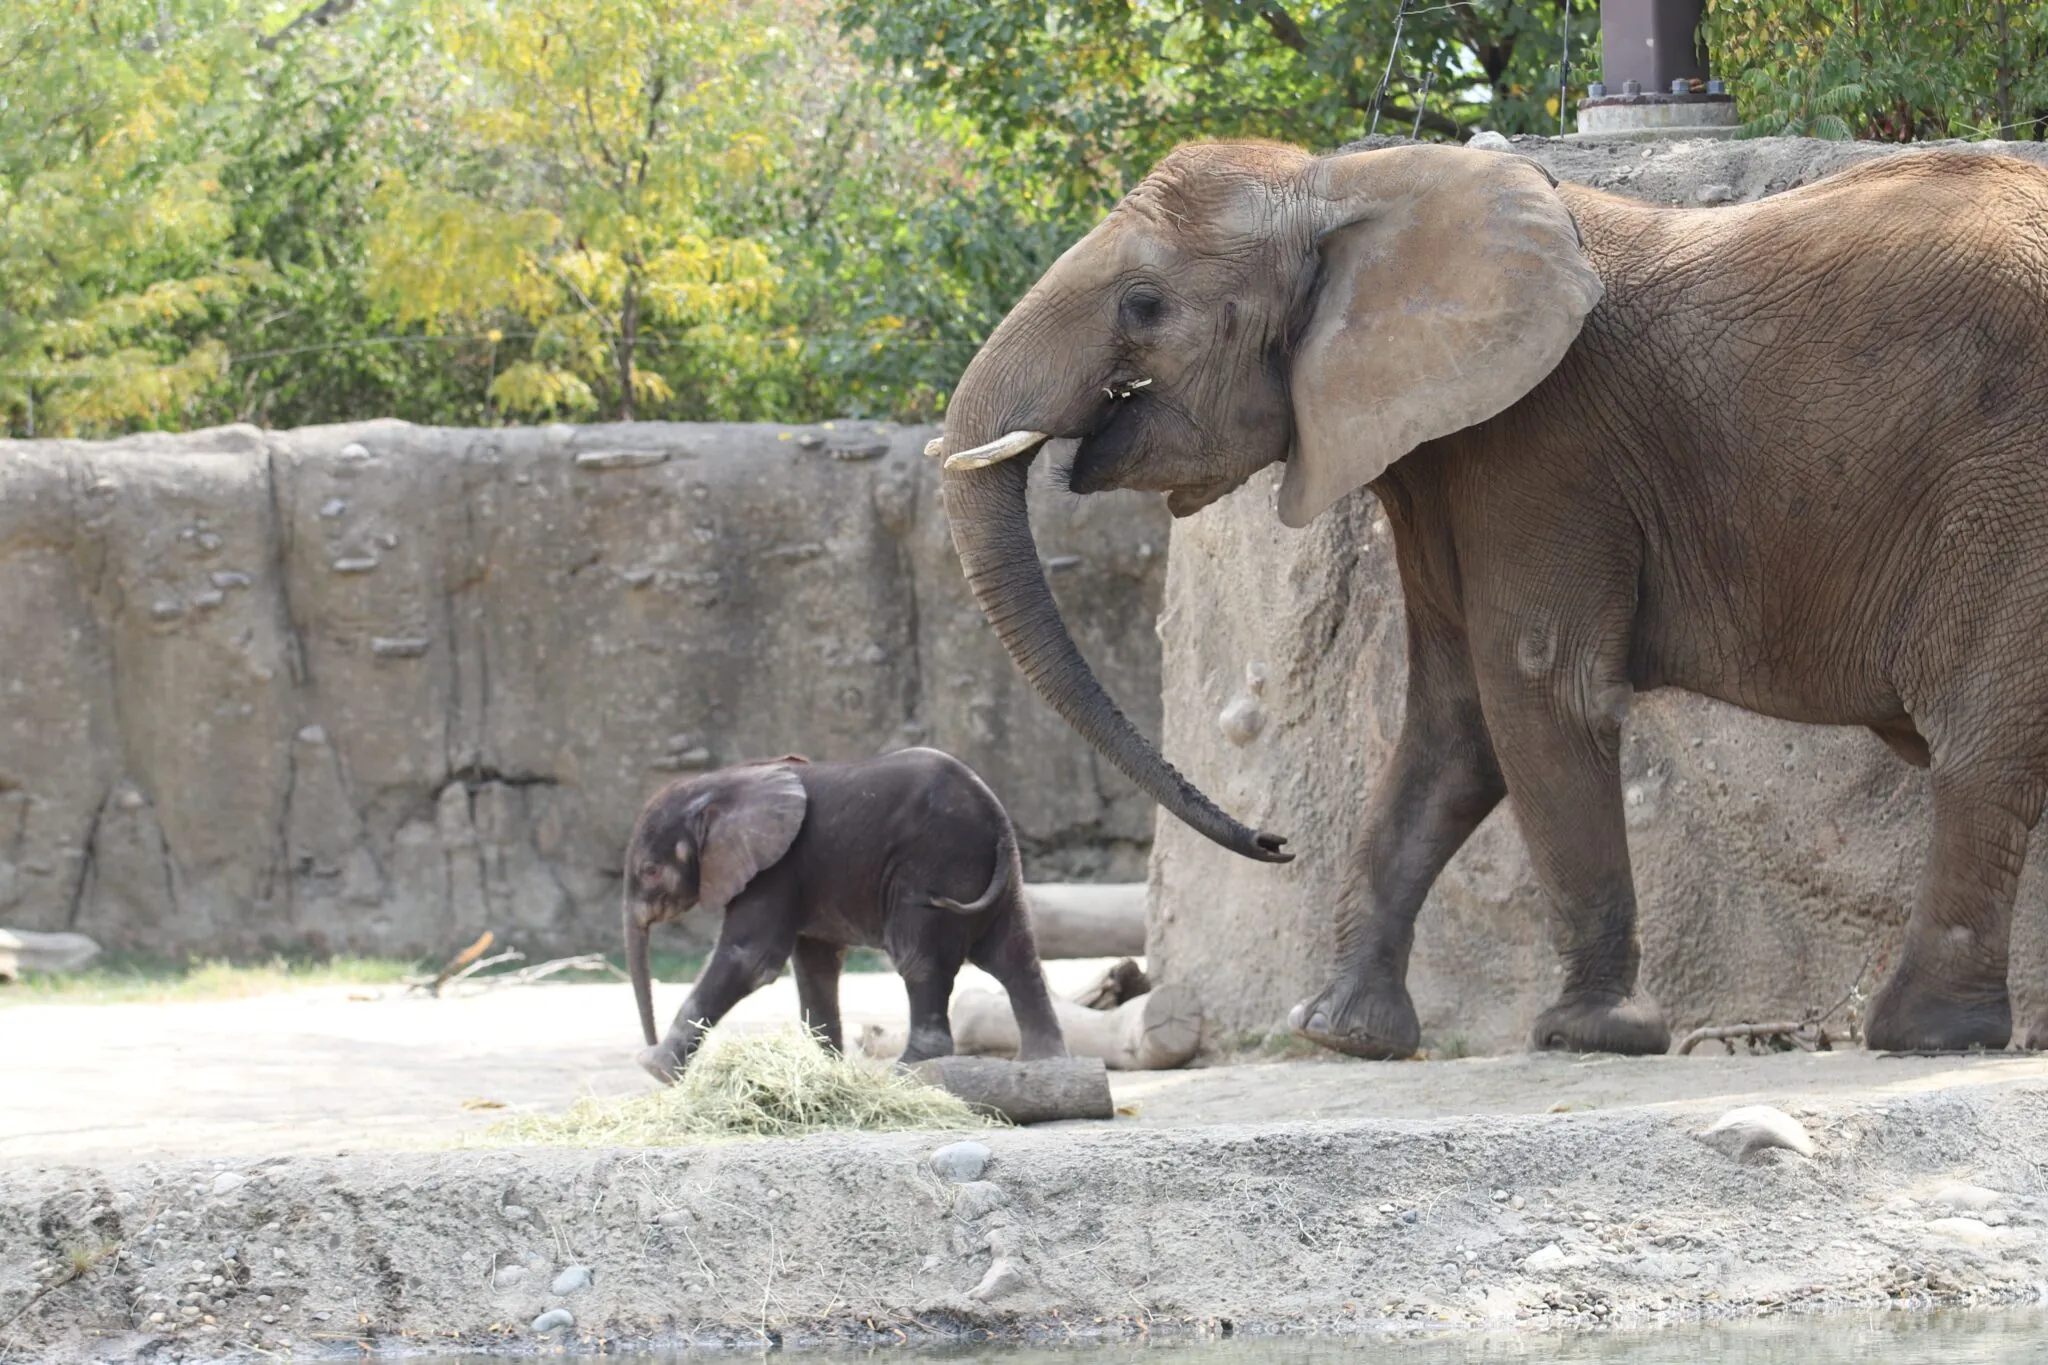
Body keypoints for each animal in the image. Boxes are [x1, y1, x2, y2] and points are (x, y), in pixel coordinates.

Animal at [622, 740, 1073, 1080]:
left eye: (650, 871)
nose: (647, 1045)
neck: (720, 786)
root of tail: (995, 813)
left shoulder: (776, 868)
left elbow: (750, 958)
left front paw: (656, 1069)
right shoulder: (798, 876)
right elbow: (813, 967)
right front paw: (825, 1073)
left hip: (935, 864)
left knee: (919, 957)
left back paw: (908, 1070)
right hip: (994, 873)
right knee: (1015, 954)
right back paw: (1044, 1062)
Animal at [925, 141, 2048, 1055]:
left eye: (1144, 307)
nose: (1274, 842)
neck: (1351, 185)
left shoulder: (1545, 445)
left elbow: (1539, 693)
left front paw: (1589, 1033)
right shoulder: (1438, 459)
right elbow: (1450, 722)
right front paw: (1339, 1033)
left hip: (2006, 488)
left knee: (1980, 741)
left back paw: (1919, 1032)